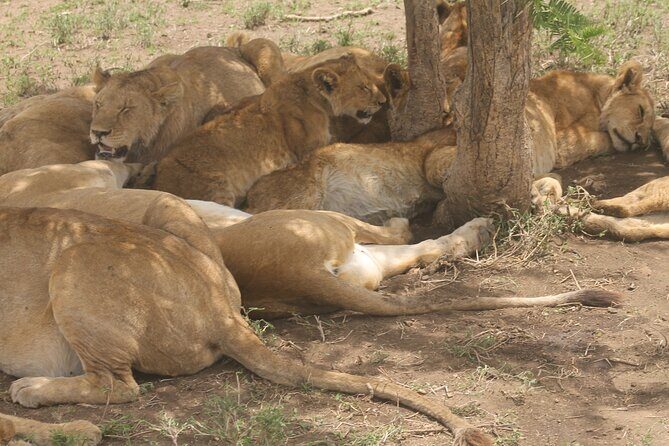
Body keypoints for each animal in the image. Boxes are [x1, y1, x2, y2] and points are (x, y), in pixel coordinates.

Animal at [152, 55, 392, 206]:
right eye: (363, 87)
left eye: (370, 82)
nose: (382, 101)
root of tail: (158, 180)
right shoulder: (310, 151)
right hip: (216, 186)